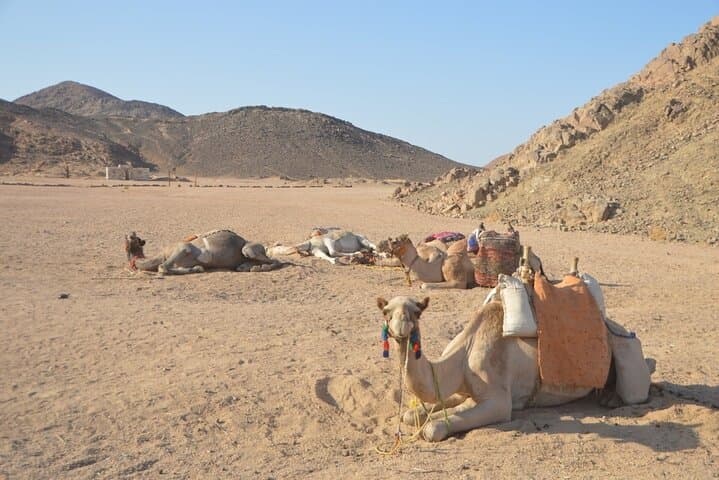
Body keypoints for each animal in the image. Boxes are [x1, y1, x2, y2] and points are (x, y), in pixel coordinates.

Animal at [124, 230, 283, 274]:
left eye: (132, 237)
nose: (130, 233)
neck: (163, 254)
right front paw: (196, 268)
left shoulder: (184, 248)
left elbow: (162, 267)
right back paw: (248, 267)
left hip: (248, 249)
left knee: (277, 261)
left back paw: (259, 267)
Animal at [376, 294, 650, 442]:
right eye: (386, 311)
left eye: (417, 311)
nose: (401, 328)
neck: (464, 352)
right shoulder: (463, 389)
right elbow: (413, 414)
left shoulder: (499, 400)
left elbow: (433, 428)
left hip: (629, 352)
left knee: (635, 391)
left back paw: (611, 399)